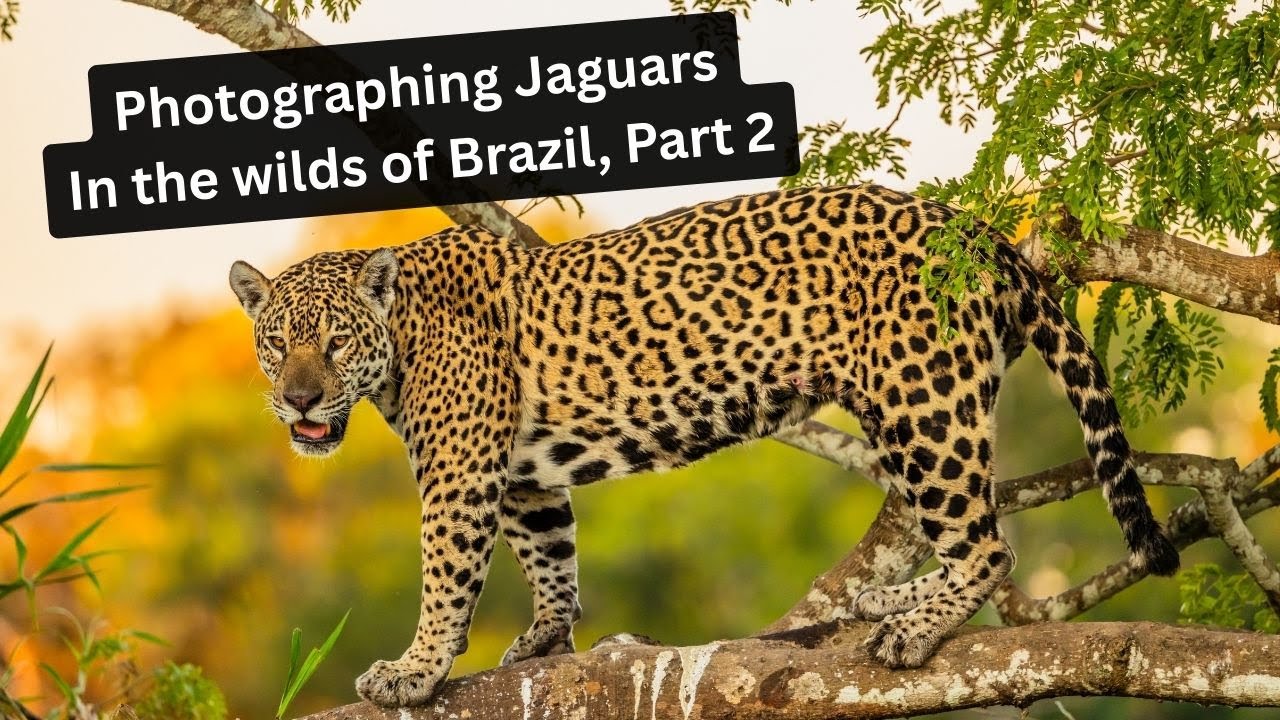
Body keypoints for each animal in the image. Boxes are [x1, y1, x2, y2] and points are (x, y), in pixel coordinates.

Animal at [229, 184, 1179, 708]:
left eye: (334, 344)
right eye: (276, 344)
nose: (298, 398)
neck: (399, 340)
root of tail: (971, 228)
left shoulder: (461, 473)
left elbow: (447, 577)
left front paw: (415, 670)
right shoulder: (524, 473)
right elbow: (550, 554)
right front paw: (546, 641)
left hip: (924, 403)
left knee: (989, 545)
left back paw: (912, 628)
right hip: (909, 412)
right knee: (955, 530)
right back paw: (888, 601)